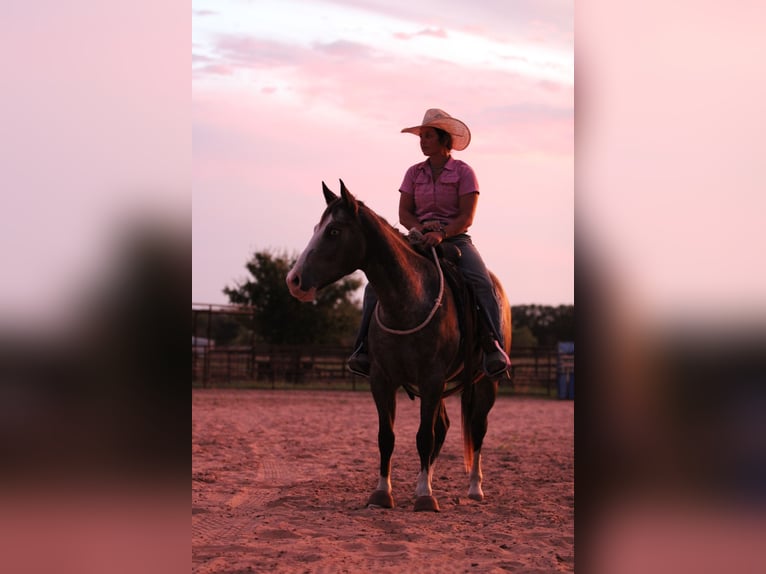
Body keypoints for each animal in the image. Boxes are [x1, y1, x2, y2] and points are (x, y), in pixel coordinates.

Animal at [284, 180, 512, 512]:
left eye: (334, 231)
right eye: (317, 227)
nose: (294, 280)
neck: (408, 300)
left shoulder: (431, 380)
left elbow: (424, 436)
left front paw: (425, 496)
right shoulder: (383, 380)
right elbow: (387, 437)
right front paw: (383, 492)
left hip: (485, 382)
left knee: (477, 428)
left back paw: (473, 488)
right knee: (443, 426)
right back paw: (424, 481)